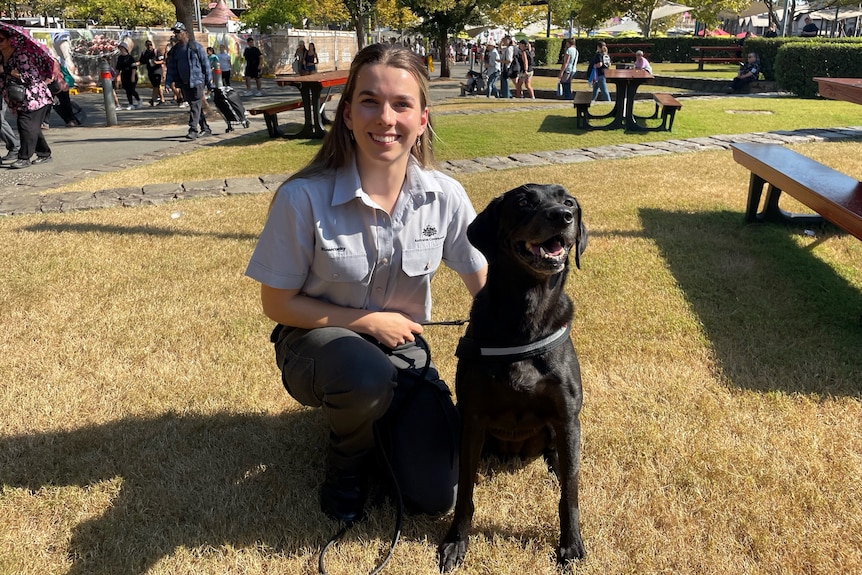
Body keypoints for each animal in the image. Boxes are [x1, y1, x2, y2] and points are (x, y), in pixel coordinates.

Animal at [438, 183, 588, 572]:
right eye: (523, 201)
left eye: (568, 201)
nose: (562, 216)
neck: (526, 315)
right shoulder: (473, 416)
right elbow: (465, 492)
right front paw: (456, 542)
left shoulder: (567, 415)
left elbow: (570, 492)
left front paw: (570, 545)